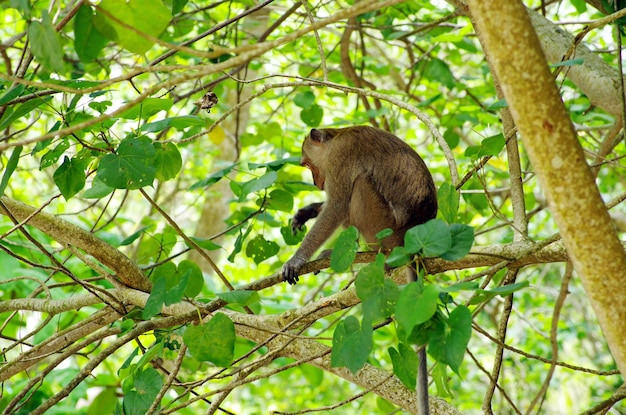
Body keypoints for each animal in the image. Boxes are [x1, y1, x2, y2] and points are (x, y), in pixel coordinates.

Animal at [282, 125, 434, 414]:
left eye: (306, 164)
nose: (317, 183)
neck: (336, 136)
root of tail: (411, 239)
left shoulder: (341, 158)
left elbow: (338, 205)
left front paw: (296, 260)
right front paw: (309, 210)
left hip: (383, 226)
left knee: (360, 185)